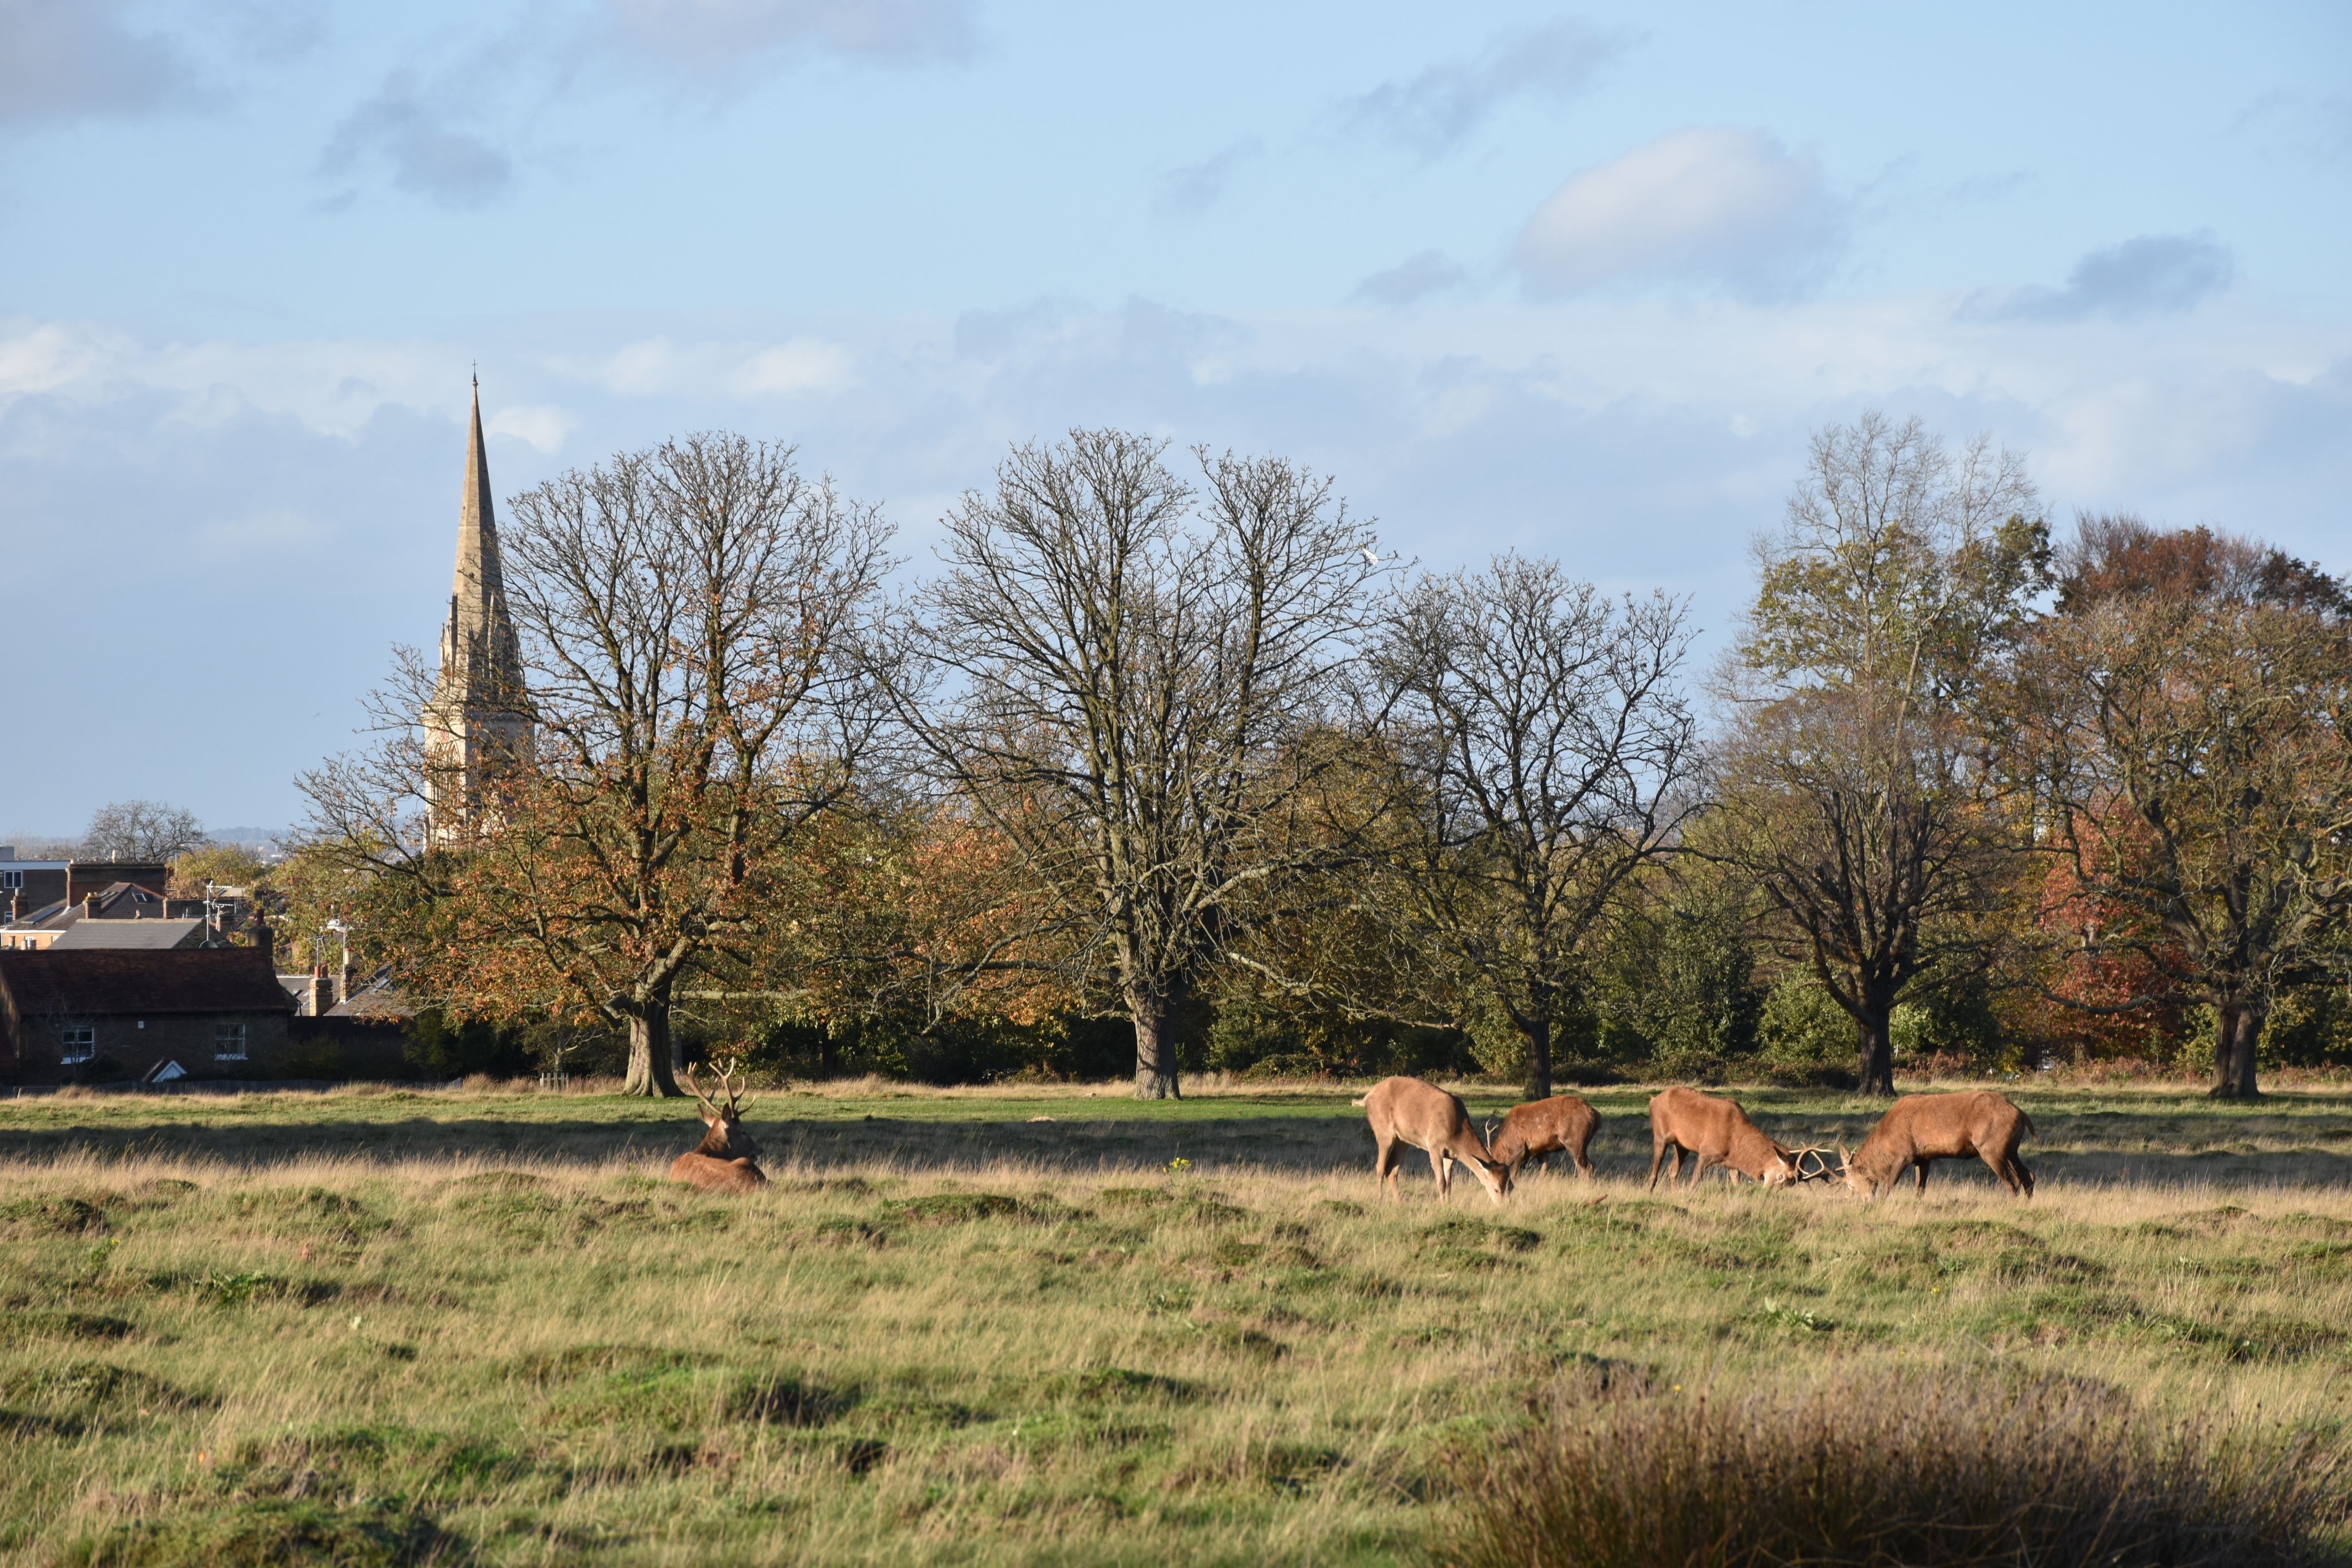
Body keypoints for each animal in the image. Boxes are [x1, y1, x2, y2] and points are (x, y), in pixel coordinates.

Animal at [1357, 1076, 1514, 1206]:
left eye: (1511, 1187)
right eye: (1496, 1189)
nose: (1505, 1207)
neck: (1457, 1132)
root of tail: (1366, 1098)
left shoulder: (1451, 1155)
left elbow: (1449, 1182)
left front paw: (1449, 1204)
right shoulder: (1434, 1145)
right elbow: (1442, 1182)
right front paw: (1443, 1205)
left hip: (1402, 1140)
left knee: (1391, 1170)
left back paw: (1400, 1202)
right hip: (1384, 1132)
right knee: (1380, 1167)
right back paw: (1380, 1200)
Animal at [1485, 1094, 1600, 1179]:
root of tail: (1596, 1114)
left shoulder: (1519, 1148)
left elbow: (1513, 1174)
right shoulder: (1542, 1150)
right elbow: (1543, 1172)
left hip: (1574, 1141)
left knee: (1587, 1167)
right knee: (1583, 1167)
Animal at [1647, 1086, 1806, 1190]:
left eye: (1792, 1183)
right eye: (1781, 1177)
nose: (1769, 1192)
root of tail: (1653, 1100)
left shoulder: (1731, 1163)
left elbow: (1737, 1183)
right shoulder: (1707, 1152)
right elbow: (1694, 1182)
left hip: (1682, 1146)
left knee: (1673, 1171)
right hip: (1660, 1134)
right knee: (1656, 1170)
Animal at [1839, 1091, 2035, 1199]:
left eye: (1851, 1185)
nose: (1864, 1202)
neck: (1886, 1141)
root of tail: (2021, 1114)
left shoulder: (1905, 1154)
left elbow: (1889, 1185)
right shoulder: (1923, 1157)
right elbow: (1920, 1189)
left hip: (1991, 1148)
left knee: (2013, 1183)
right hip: (2010, 1150)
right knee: (2028, 1176)